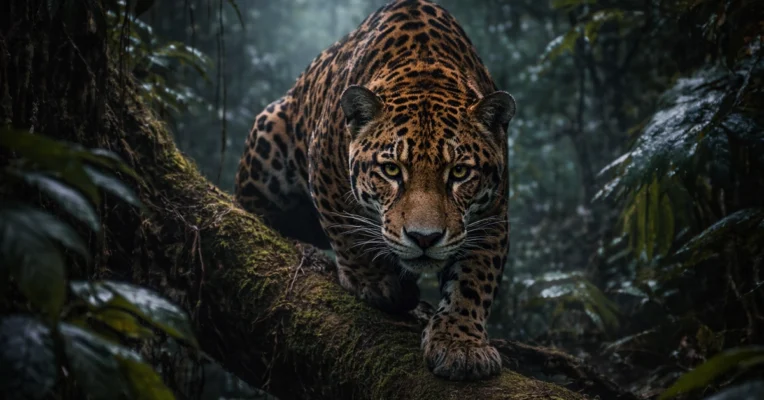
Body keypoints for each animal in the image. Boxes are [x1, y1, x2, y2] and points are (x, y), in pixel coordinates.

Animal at [234, 0, 515, 381]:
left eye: (459, 172)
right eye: (392, 170)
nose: (424, 238)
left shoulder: (492, 216)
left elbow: (474, 281)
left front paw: (461, 344)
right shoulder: (324, 169)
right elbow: (347, 232)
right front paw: (377, 283)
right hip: (270, 133)